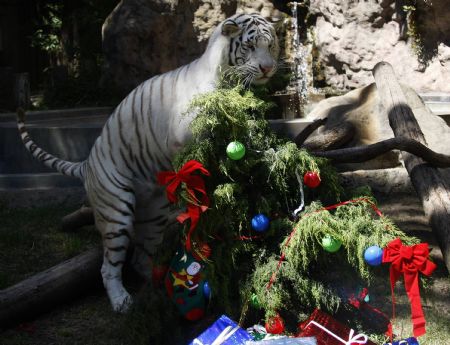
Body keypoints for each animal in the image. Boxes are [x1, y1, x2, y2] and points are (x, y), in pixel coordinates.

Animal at [17, 13, 280, 310]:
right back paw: (121, 301)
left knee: (140, 258)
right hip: (116, 211)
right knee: (109, 266)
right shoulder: (185, 139)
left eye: (271, 46)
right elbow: (198, 165)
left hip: (154, 214)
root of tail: (87, 163)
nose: (268, 68)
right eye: (250, 46)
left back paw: (159, 286)